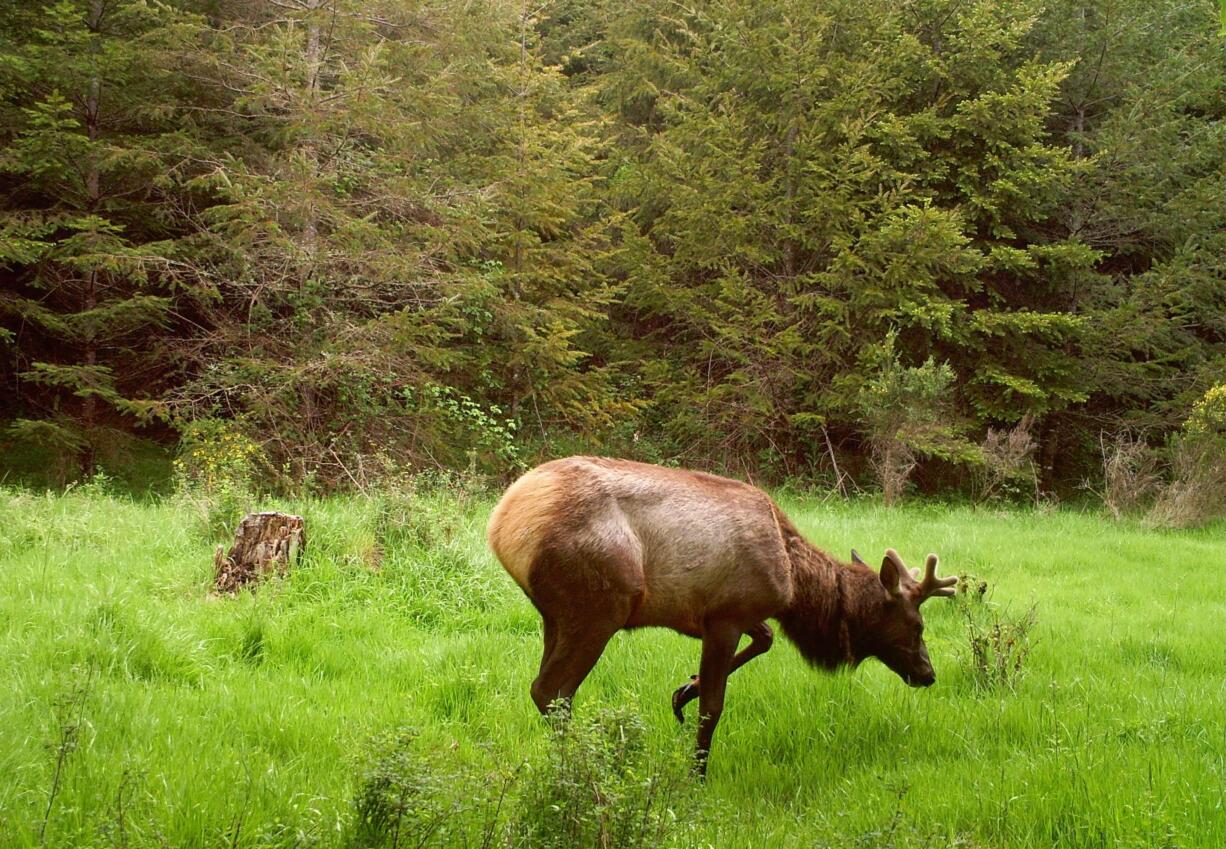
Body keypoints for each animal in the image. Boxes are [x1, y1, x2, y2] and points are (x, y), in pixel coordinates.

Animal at [485, 458, 956, 775]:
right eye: (917, 625)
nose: (929, 674)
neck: (796, 585)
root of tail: (503, 524)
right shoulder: (727, 617)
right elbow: (714, 708)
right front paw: (696, 773)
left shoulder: (723, 616)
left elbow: (765, 638)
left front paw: (683, 690)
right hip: (599, 608)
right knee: (552, 691)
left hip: (554, 617)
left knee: (548, 689)